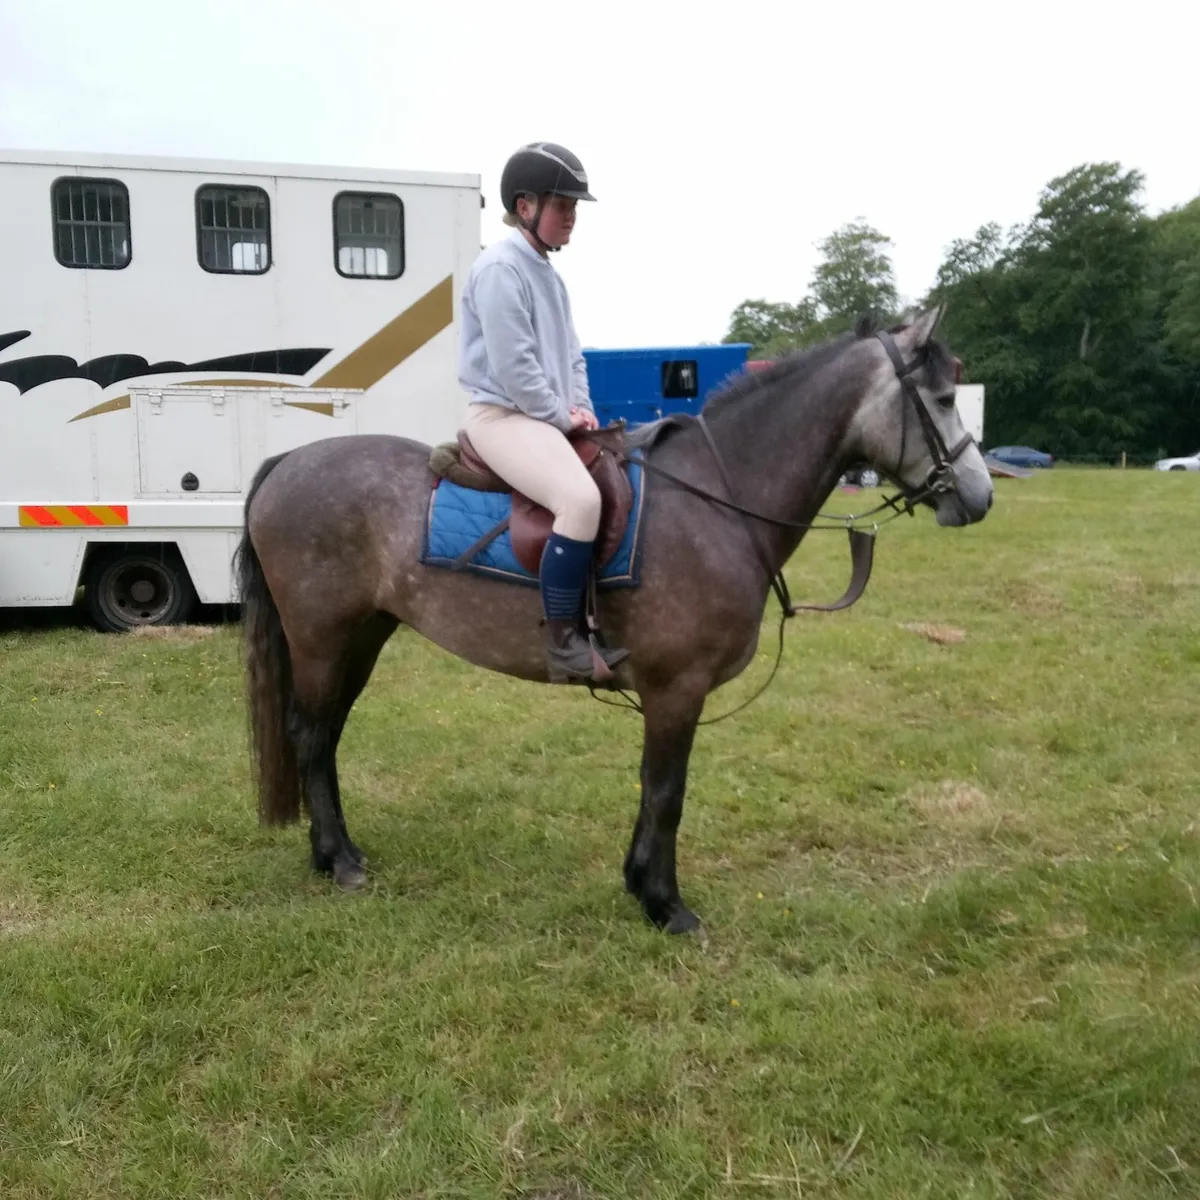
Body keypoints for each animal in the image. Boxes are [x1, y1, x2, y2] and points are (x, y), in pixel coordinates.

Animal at [233, 308, 994, 935]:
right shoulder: (676, 688)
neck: (716, 499)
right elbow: (665, 791)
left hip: (362, 635)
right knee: (310, 735)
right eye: (943, 399)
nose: (981, 498)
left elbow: (656, 791)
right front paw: (664, 903)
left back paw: (334, 852)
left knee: (326, 737)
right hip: (322, 639)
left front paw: (641, 886)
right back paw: (337, 859)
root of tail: (287, 462)